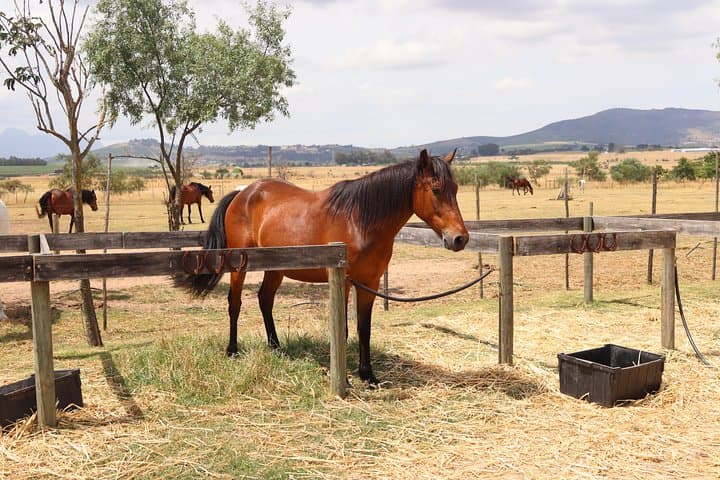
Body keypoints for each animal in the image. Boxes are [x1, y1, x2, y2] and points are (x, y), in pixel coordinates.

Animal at [174, 149, 469, 385]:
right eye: (436, 189)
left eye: (455, 189)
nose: (459, 238)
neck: (359, 220)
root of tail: (242, 193)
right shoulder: (344, 281)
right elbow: (345, 329)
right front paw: (346, 377)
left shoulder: (370, 283)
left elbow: (364, 329)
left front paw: (368, 376)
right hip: (240, 265)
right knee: (235, 303)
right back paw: (232, 350)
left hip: (276, 268)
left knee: (265, 299)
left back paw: (275, 347)